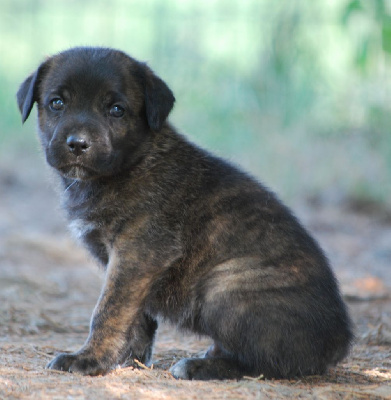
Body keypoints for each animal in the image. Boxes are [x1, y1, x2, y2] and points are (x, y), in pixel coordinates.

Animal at [16, 47, 354, 382]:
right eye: (57, 103)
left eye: (116, 110)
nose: (78, 144)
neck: (133, 161)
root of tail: (338, 344)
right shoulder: (134, 267)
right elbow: (137, 318)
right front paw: (128, 362)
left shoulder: (138, 253)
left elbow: (108, 311)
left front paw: (88, 359)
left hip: (223, 288)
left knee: (265, 361)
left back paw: (201, 366)